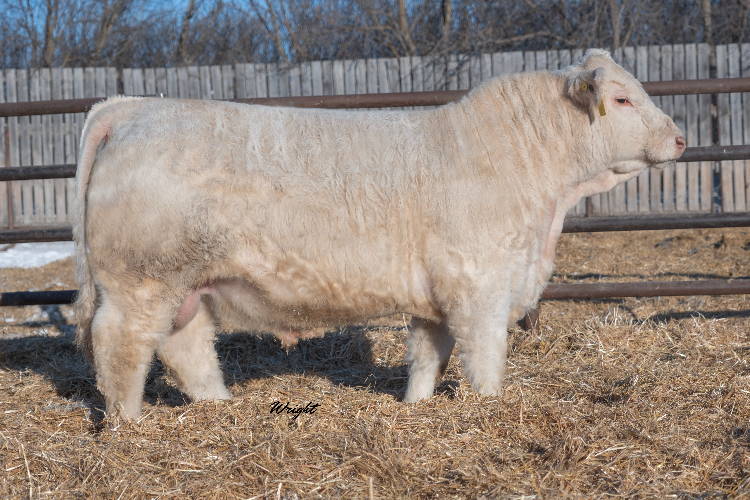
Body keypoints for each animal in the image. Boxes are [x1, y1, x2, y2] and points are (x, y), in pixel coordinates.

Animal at [73, 49, 685, 419]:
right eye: (623, 98)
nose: (680, 139)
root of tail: (129, 108)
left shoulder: (438, 298)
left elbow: (427, 360)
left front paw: (416, 409)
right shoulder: (480, 287)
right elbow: (486, 360)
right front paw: (489, 411)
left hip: (187, 287)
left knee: (187, 347)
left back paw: (221, 409)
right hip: (142, 281)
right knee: (121, 348)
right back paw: (131, 427)